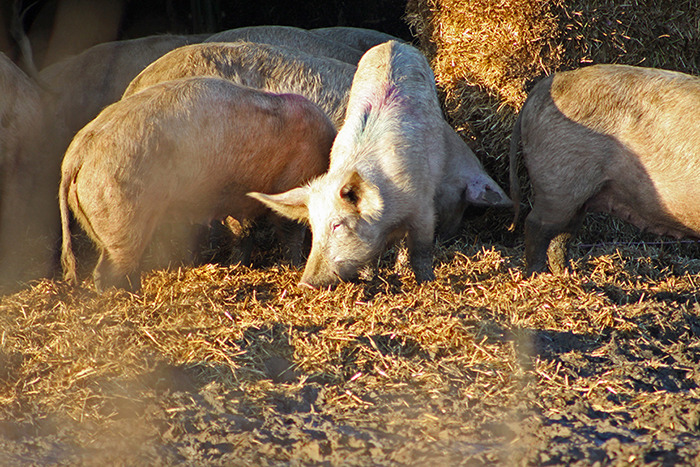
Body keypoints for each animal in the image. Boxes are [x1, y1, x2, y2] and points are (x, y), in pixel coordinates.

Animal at [60, 77, 336, 291]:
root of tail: (76, 154)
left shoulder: (237, 197)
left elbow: (243, 231)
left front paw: (236, 265)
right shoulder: (295, 177)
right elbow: (290, 228)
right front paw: (295, 264)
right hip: (121, 209)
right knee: (109, 268)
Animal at [249, 41, 447, 287]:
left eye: (337, 224)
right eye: (313, 227)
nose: (305, 284)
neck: (388, 215)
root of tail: (394, 43)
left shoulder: (423, 208)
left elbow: (420, 251)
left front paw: (426, 282)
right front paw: (370, 279)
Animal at [509, 64, 700, 275]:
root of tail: (546, 84)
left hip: (576, 198)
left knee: (560, 237)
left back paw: (567, 274)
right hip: (558, 182)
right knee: (536, 226)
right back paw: (538, 274)